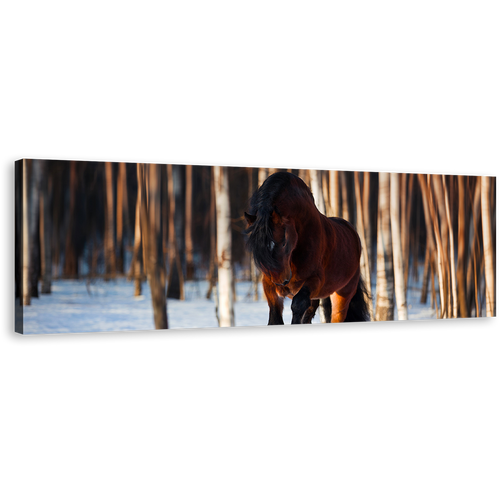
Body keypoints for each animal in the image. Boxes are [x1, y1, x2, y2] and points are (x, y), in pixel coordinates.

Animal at [244, 170, 370, 326]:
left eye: (284, 242)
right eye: (259, 249)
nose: (281, 282)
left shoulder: (314, 281)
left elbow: (298, 305)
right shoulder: (269, 283)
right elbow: (275, 315)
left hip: (342, 295)